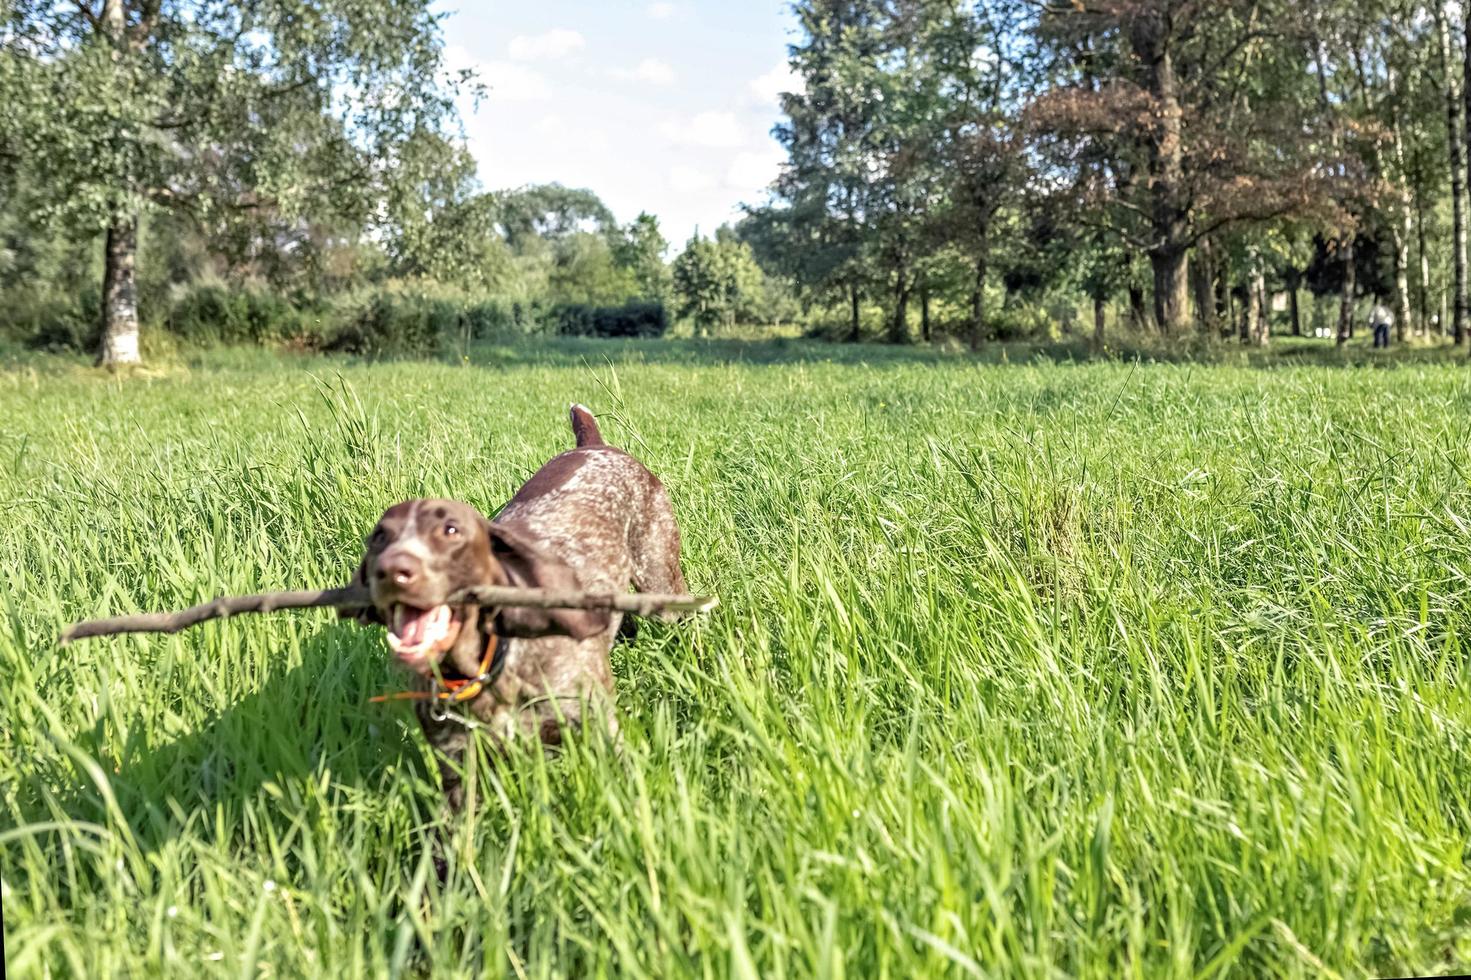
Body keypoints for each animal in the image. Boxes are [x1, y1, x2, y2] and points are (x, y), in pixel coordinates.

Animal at [347, 400, 685, 806]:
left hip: (660, 580)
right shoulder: (458, 770)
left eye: (451, 531)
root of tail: (596, 446)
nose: (393, 570)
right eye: (379, 538)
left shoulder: (597, 725)